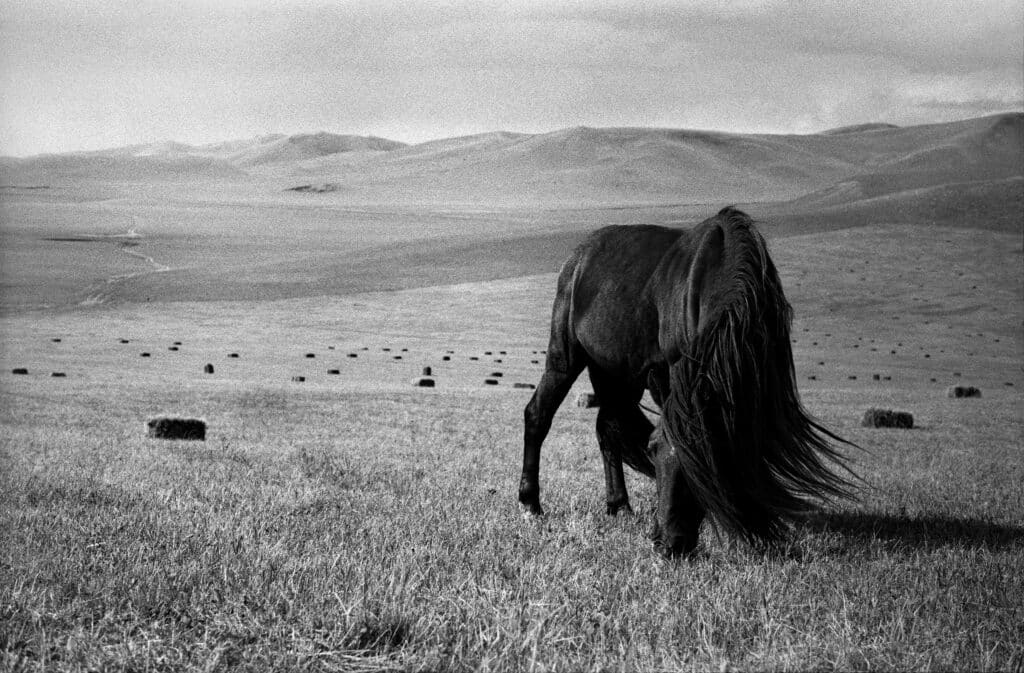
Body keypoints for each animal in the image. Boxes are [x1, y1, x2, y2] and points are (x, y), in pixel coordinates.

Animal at [520, 204, 856, 557]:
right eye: (654, 452)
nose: (669, 546)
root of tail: (579, 255)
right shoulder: (672, 373)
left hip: (619, 374)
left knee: (608, 428)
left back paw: (620, 507)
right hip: (566, 354)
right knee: (539, 415)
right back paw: (531, 504)